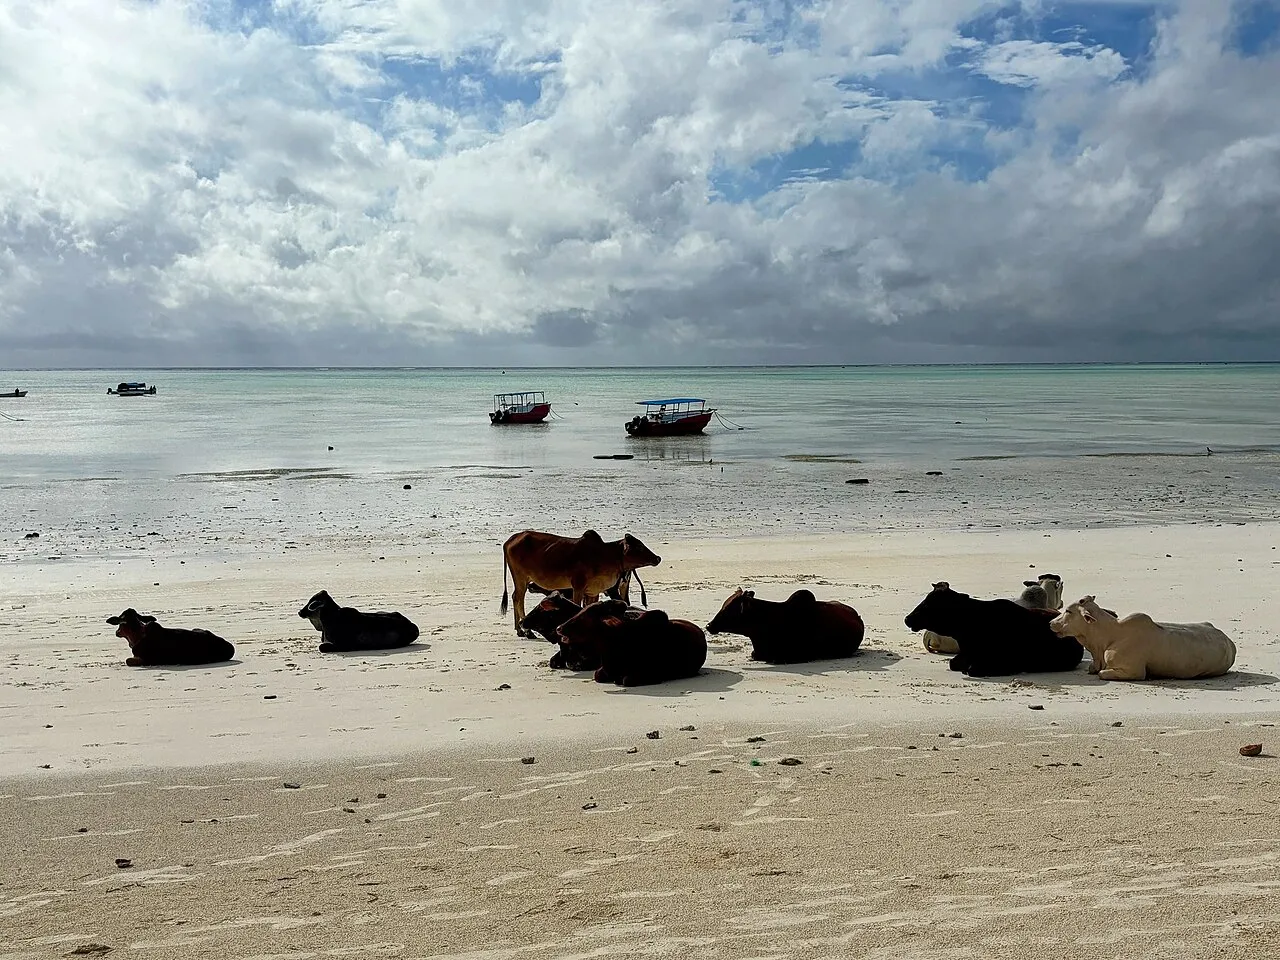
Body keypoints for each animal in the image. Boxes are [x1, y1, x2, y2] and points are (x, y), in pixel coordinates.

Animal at [105, 608, 235, 666]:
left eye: (120, 623)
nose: (117, 632)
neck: (139, 633)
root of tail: (230, 647)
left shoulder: (146, 660)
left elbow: (128, 661)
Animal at [500, 529, 661, 637]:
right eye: (639, 546)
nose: (658, 558)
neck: (605, 556)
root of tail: (510, 539)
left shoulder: (593, 591)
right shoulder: (577, 587)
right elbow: (577, 606)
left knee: (515, 597)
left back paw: (519, 630)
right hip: (521, 578)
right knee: (518, 598)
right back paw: (527, 631)